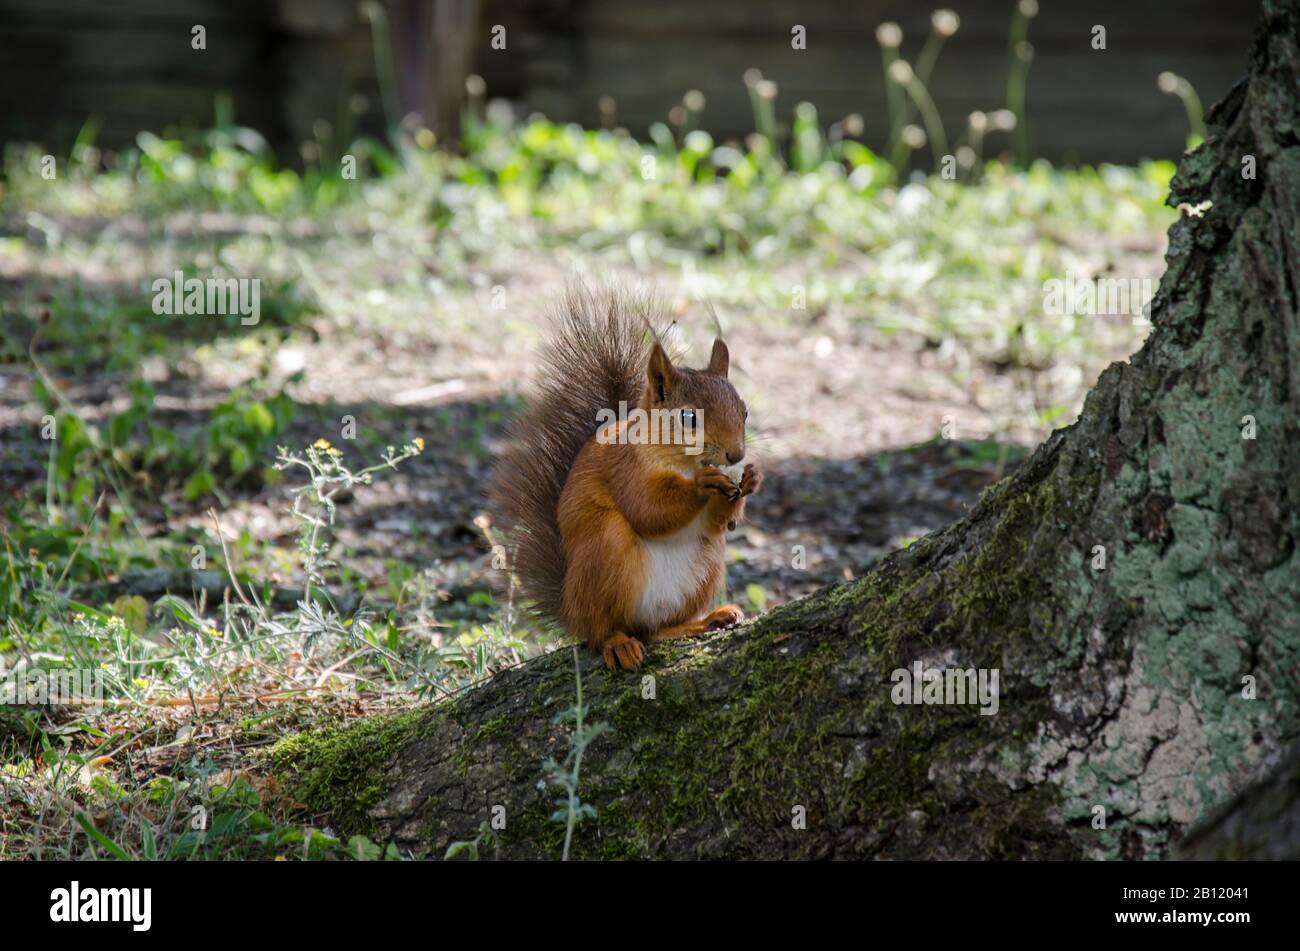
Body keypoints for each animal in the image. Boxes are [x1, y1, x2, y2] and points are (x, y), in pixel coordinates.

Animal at [489, 285, 761, 671]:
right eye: (689, 418)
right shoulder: (625, 469)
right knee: (603, 630)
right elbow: (648, 511)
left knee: (657, 630)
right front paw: (703, 486)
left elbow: (718, 524)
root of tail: (571, 608)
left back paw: (706, 620)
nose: (736, 456)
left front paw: (750, 480)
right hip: (605, 551)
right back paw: (617, 644)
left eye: (744, 411)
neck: (685, 463)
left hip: (707, 565)